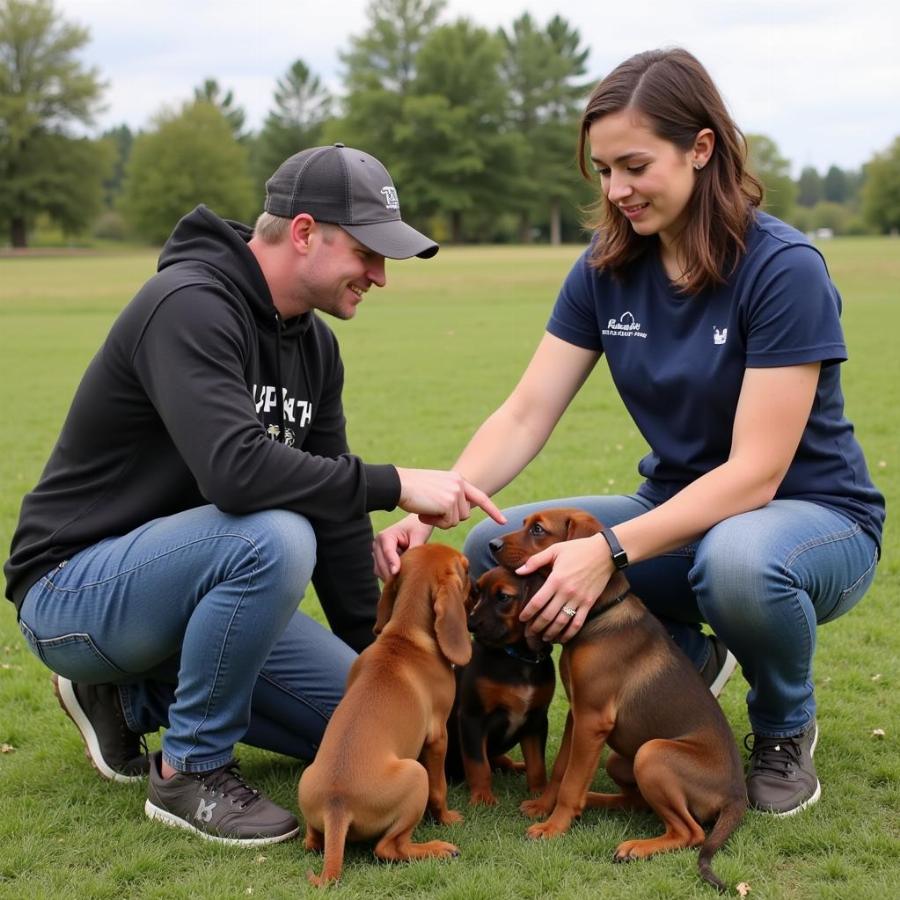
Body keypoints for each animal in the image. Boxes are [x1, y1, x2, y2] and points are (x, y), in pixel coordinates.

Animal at [300, 540, 474, 884]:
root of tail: (336, 806)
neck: (404, 636)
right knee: (388, 848)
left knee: (312, 842)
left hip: (307, 784)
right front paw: (447, 817)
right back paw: (437, 848)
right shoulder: (438, 735)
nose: (478, 591)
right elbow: (440, 789)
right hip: (416, 774)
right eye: (467, 568)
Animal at [454, 568, 560, 804]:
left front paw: (539, 792)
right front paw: (482, 797)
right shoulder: (472, 717)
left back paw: (517, 767)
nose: (470, 625)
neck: (517, 658)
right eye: (477, 592)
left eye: (503, 597)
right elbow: (478, 764)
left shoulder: (537, 720)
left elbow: (537, 764)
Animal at [492, 506, 744, 892]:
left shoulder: (593, 719)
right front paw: (545, 806)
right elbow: (562, 770)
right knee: (637, 803)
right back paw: (594, 801)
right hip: (619, 759)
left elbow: (571, 780)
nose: (492, 544)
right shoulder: (578, 715)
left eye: (538, 530)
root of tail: (736, 796)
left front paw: (554, 826)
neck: (601, 613)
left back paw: (636, 847)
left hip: (651, 754)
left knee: (690, 832)